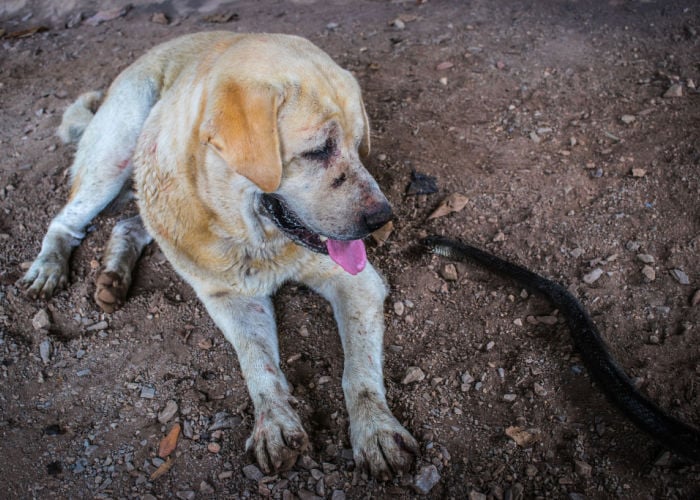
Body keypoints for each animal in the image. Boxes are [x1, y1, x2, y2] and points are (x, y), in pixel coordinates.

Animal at [20, 33, 416, 478]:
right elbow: (257, 364)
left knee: (127, 222)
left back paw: (113, 275)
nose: (384, 217)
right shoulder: (231, 299)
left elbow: (358, 371)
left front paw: (376, 431)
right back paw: (48, 267)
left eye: (359, 144)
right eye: (319, 150)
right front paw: (274, 424)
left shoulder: (357, 283)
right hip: (115, 154)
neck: (251, 238)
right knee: (66, 220)